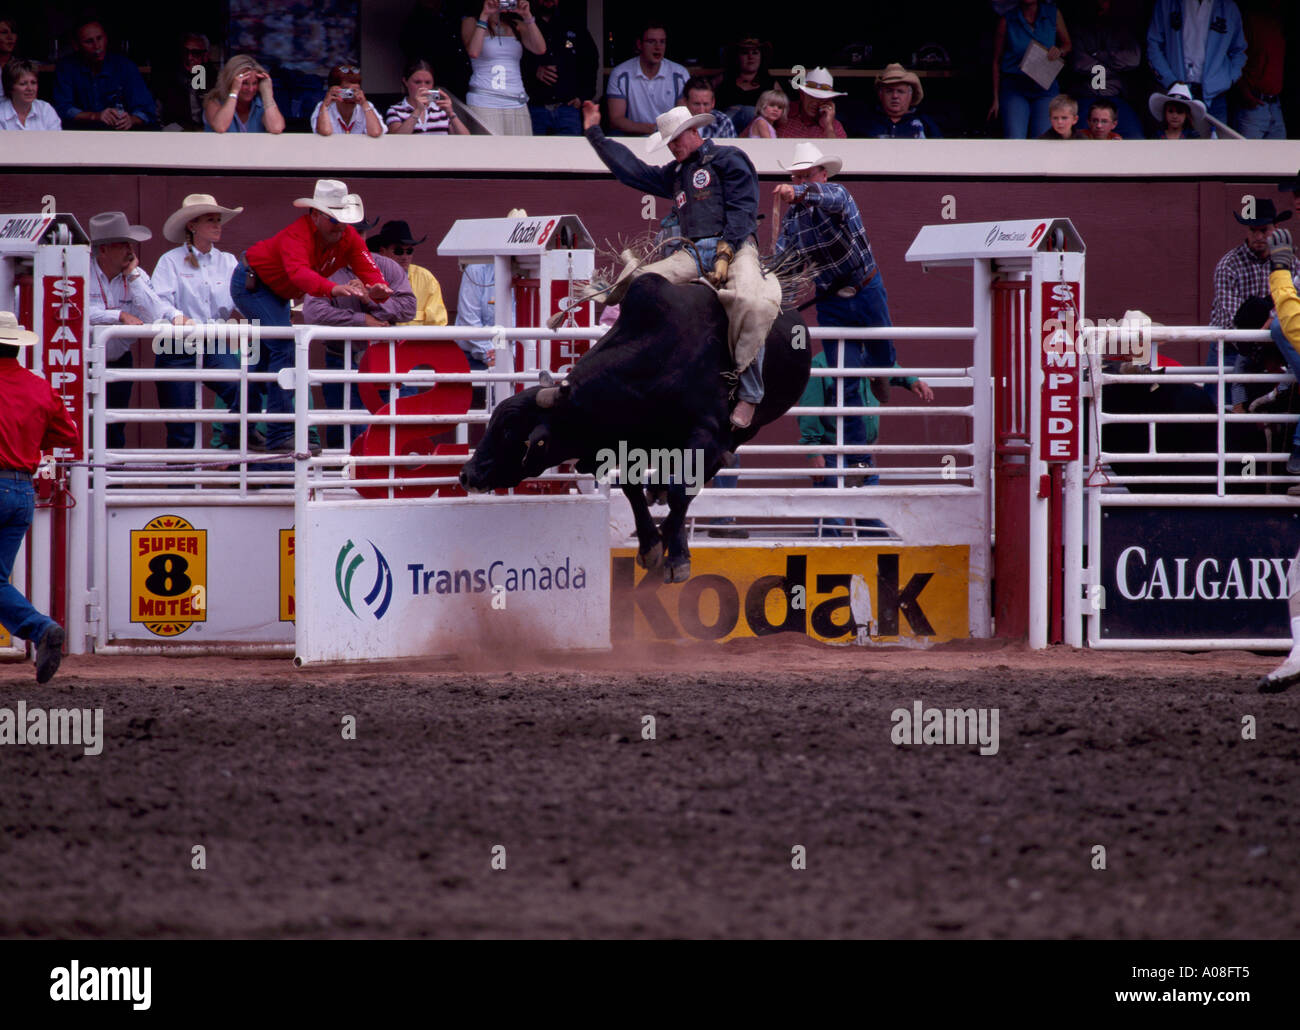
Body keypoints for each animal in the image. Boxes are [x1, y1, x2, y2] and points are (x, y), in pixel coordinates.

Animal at [460, 273, 811, 580]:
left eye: (509, 430)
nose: (467, 474)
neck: (654, 363)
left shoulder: (706, 436)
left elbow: (682, 491)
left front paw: (675, 556)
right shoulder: (626, 443)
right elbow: (631, 487)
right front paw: (650, 545)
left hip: (742, 432)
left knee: (699, 478)